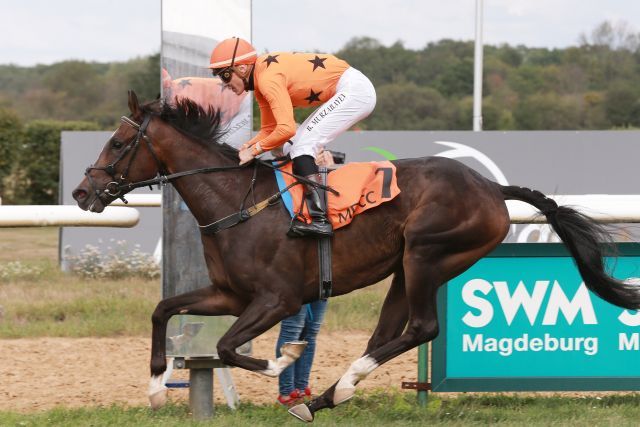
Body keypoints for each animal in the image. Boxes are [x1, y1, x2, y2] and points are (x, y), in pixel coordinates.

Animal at [72, 92, 640, 422]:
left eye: (118, 142)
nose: (82, 192)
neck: (237, 202)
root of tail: (492, 189)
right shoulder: (229, 293)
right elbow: (163, 310)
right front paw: (154, 390)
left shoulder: (277, 299)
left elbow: (232, 347)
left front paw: (287, 358)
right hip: (405, 268)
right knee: (388, 333)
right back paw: (329, 394)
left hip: (428, 253)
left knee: (422, 327)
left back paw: (331, 391)